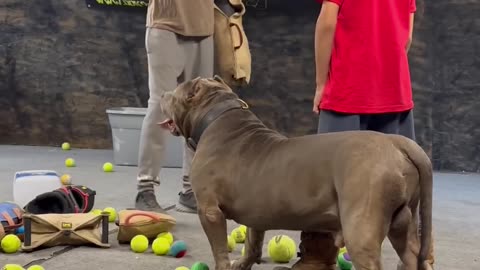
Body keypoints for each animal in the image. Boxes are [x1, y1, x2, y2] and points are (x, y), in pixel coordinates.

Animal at [159, 76, 434, 270]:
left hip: (361, 227)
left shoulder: (210, 211)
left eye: (175, 93)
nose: (161, 93)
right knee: (411, 256)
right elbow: (252, 244)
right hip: (403, 221)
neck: (217, 116)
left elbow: (219, 251)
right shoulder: (256, 213)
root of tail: (396, 143)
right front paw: (242, 264)